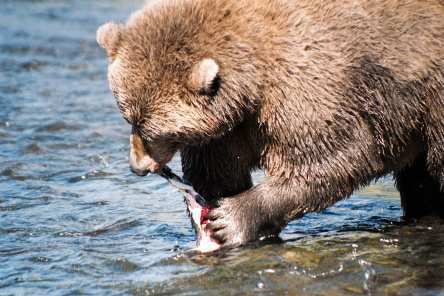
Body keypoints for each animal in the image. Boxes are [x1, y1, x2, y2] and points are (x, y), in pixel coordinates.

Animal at [97, 0, 444, 247]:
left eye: (150, 130)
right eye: (129, 117)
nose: (137, 166)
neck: (251, 84)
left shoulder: (310, 90)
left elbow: (335, 158)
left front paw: (230, 219)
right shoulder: (230, 129)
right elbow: (217, 171)